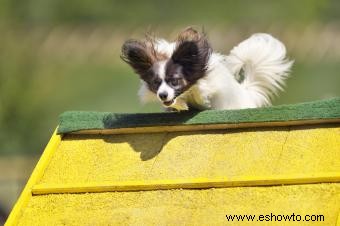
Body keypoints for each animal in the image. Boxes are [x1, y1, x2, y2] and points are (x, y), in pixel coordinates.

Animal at [121, 27, 294, 111]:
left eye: (175, 81)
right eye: (156, 83)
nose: (162, 95)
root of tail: (247, 93)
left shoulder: (211, 82)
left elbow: (203, 89)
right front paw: (179, 105)